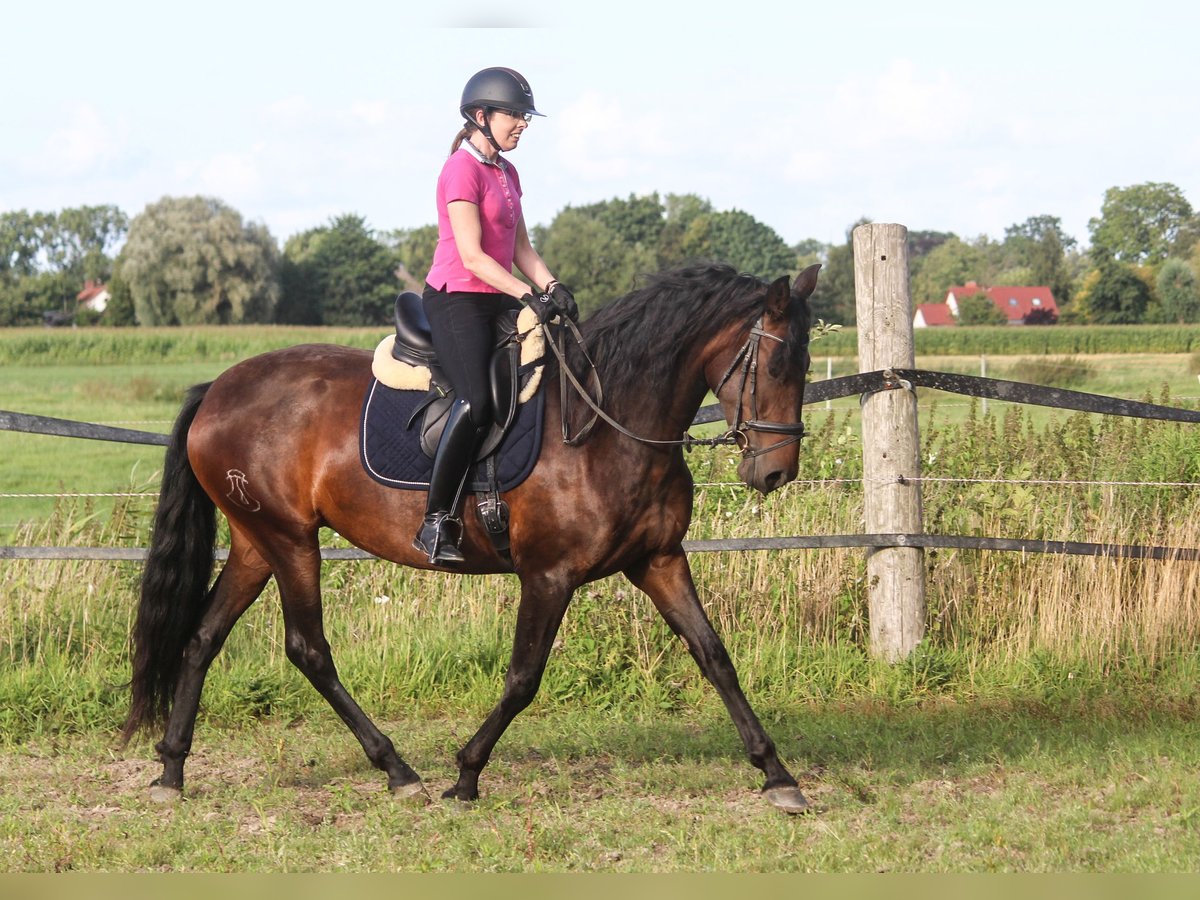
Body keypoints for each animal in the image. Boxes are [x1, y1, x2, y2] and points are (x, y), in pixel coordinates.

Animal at [124, 260, 816, 816]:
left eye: (806, 363)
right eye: (775, 363)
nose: (775, 472)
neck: (605, 425)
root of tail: (218, 388)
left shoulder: (659, 561)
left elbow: (714, 656)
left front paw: (778, 775)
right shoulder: (549, 575)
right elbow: (523, 678)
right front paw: (465, 777)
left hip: (255, 540)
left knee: (202, 638)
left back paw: (172, 770)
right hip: (290, 541)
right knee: (308, 649)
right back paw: (398, 771)